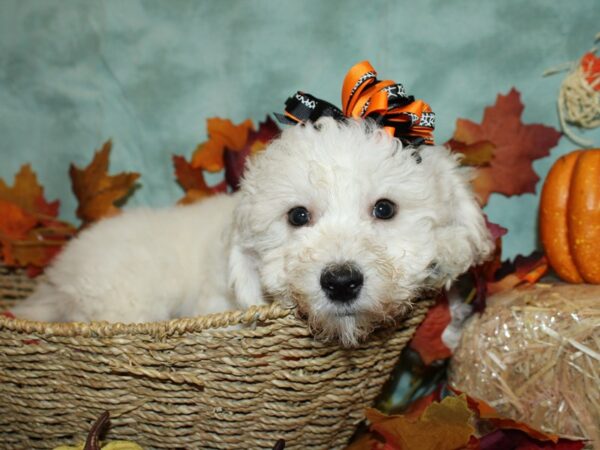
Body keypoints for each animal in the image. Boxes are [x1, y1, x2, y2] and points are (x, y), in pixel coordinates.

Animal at [12, 118, 492, 346]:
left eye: (385, 209)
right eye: (297, 216)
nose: (340, 282)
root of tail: (57, 276)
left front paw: (451, 250)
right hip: (125, 299)